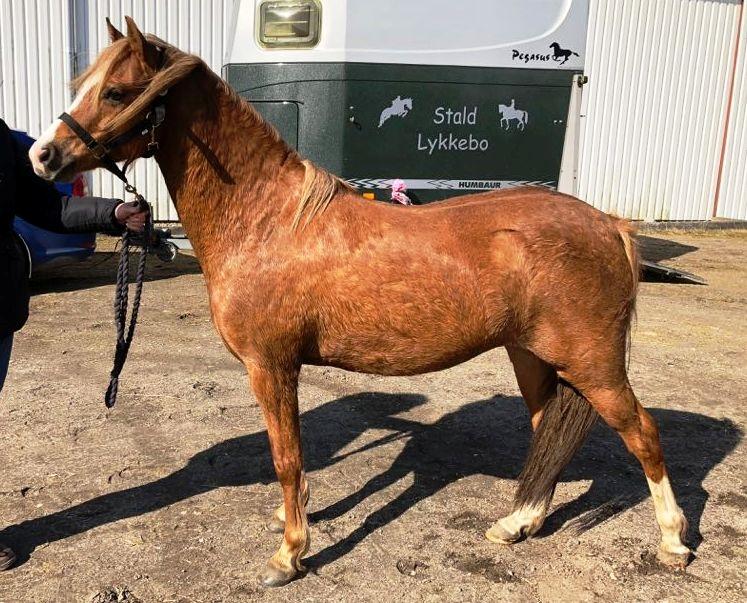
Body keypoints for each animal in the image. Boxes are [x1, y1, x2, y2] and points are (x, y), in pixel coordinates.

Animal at [29, 17, 691, 587]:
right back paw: (517, 523)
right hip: (533, 356)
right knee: (549, 429)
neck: (268, 221)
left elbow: (286, 457)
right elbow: (292, 457)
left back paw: (673, 541)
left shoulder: (271, 367)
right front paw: (294, 520)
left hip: (593, 363)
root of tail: (611, 226)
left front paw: (289, 554)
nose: (42, 156)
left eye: (116, 92)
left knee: (642, 433)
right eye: (85, 86)